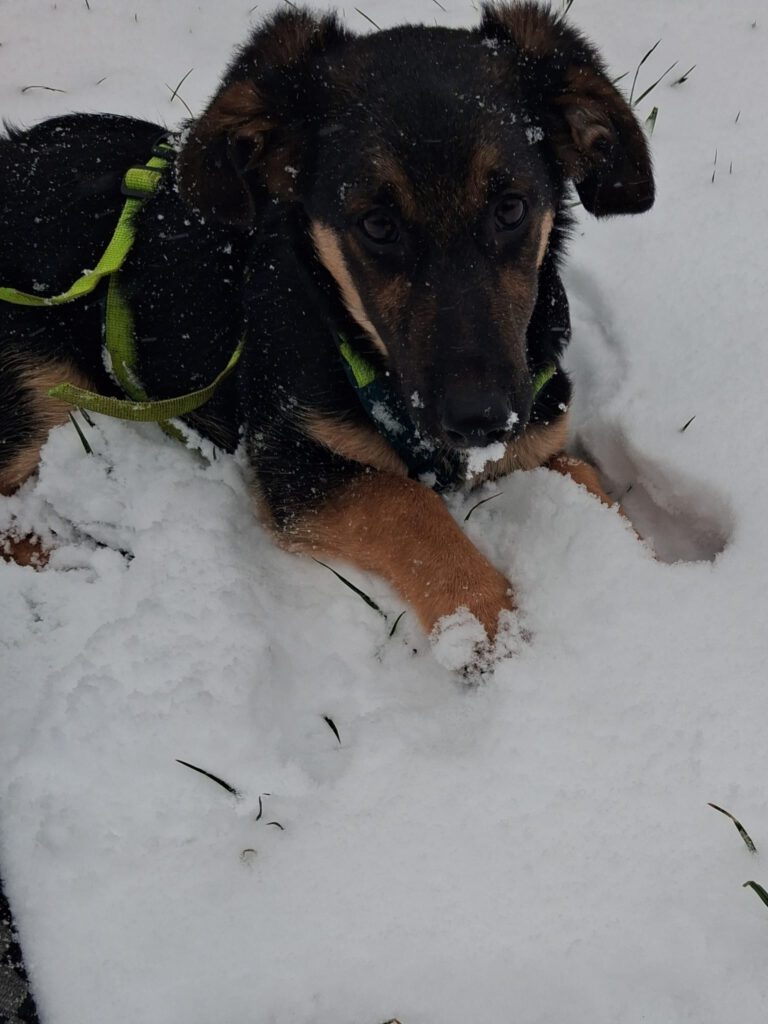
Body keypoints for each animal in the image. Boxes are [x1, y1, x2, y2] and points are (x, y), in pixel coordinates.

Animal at [0, 2, 654, 653]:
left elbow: (587, 477)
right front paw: (492, 632)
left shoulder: (538, 434)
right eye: (377, 225)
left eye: (512, 208)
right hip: (35, 387)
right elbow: (407, 504)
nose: (480, 421)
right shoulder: (296, 459)